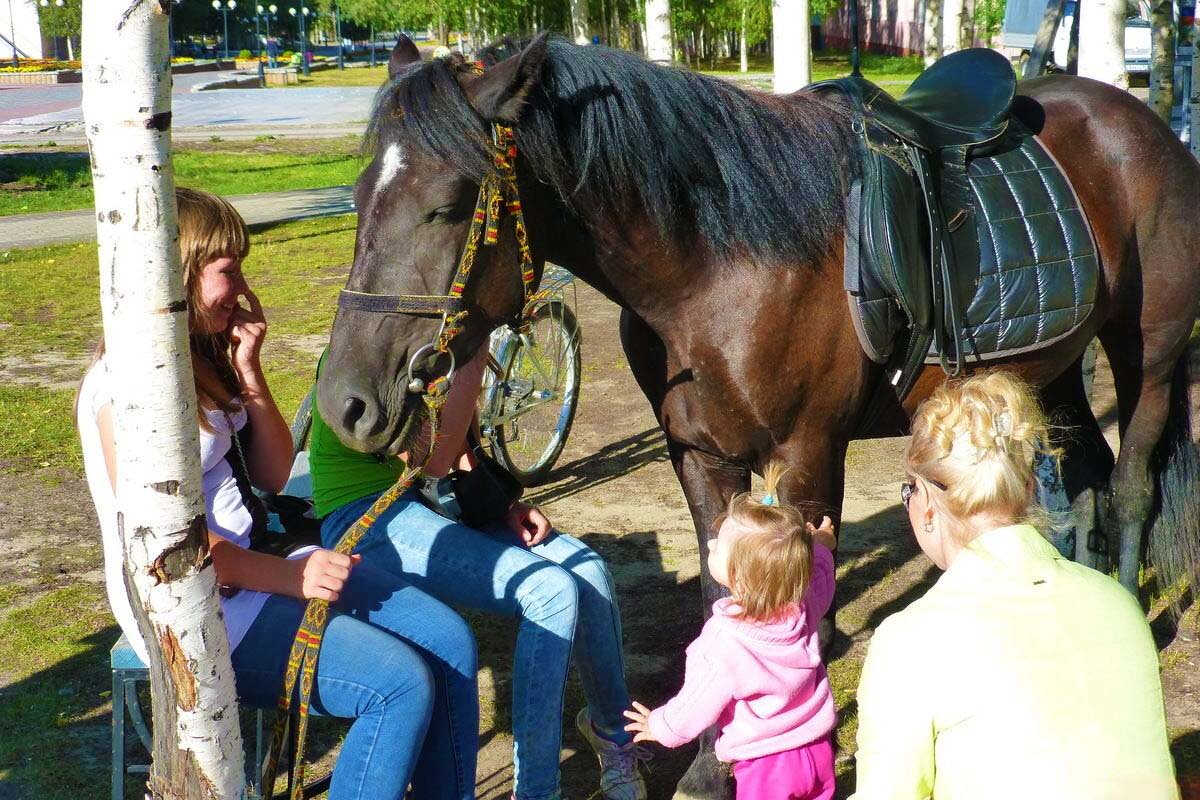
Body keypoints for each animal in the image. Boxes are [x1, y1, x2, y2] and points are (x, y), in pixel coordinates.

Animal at [319, 34, 1200, 796]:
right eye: (357, 199)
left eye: (446, 206)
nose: (344, 404)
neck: (718, 261)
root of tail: (1142, 122)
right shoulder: (698, 456)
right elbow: (722, 598)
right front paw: (712, 767)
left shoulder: (808, 455)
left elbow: (799, 614)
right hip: (1057, 371)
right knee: (1084, 482)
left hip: (1147, 356)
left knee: (1131, 484)